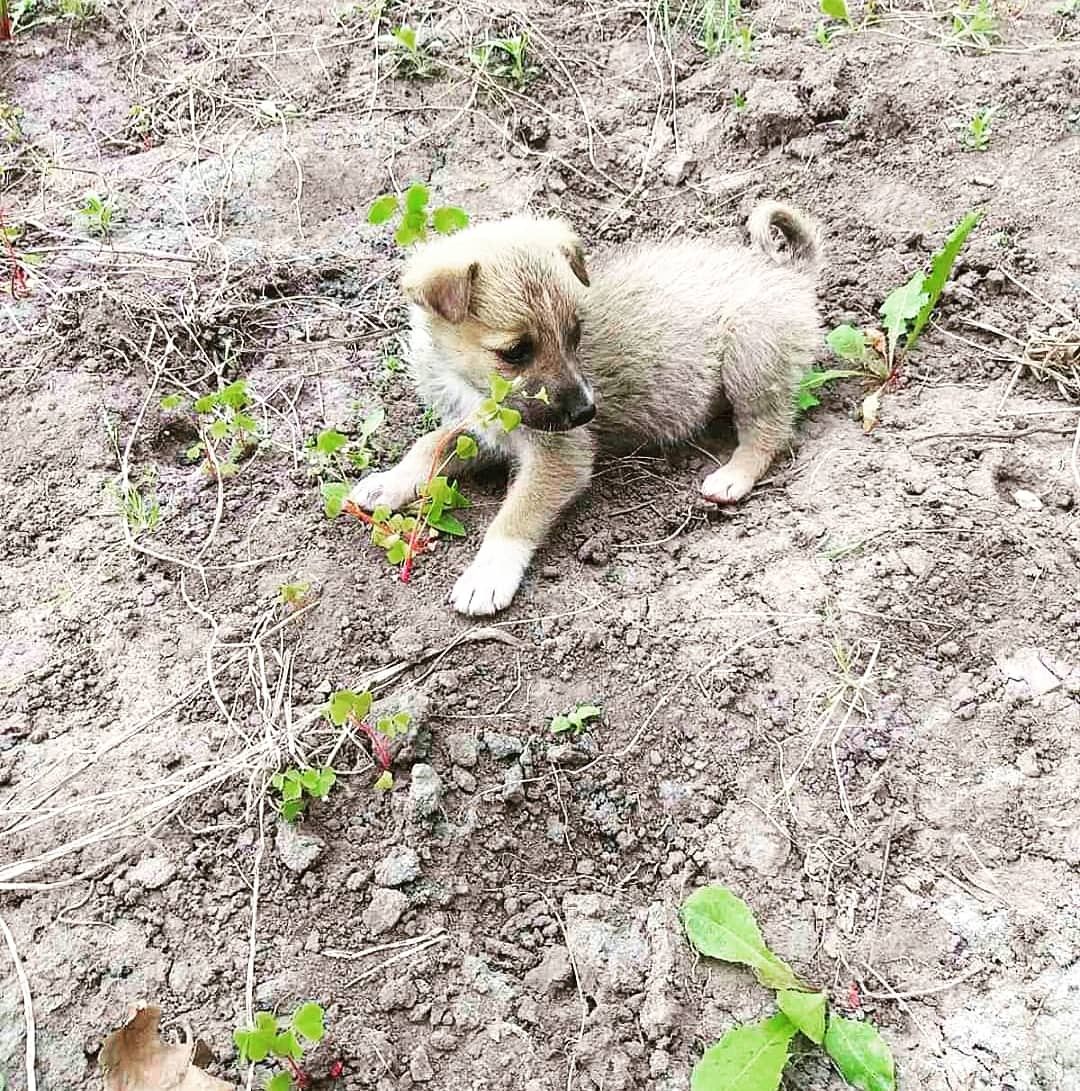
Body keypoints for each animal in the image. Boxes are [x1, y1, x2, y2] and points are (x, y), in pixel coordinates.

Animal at [351, 201, 824, 619]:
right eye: (516, 352)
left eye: (575, 335)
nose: (586, 413)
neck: (469, 384)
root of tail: (788, 273)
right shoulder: (481, 429)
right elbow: (428, 446)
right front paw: (388, 483)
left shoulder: (561, 456)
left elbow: (516, 512)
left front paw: (488, 574)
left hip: (751, 356)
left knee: (768, 430)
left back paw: (732, 477)